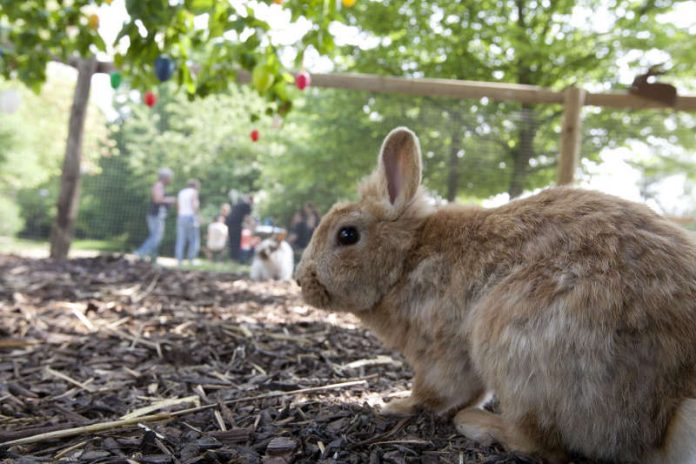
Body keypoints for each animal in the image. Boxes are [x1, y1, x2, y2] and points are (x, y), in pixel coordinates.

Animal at [296, 128, 696, 464]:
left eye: (347, 235)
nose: (301, 280)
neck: (406, 259)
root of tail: (673, 406)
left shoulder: (441, 348)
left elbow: (436, 390)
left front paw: (397, 404)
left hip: (517, 341)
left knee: (541, 444)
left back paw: (477, 424)